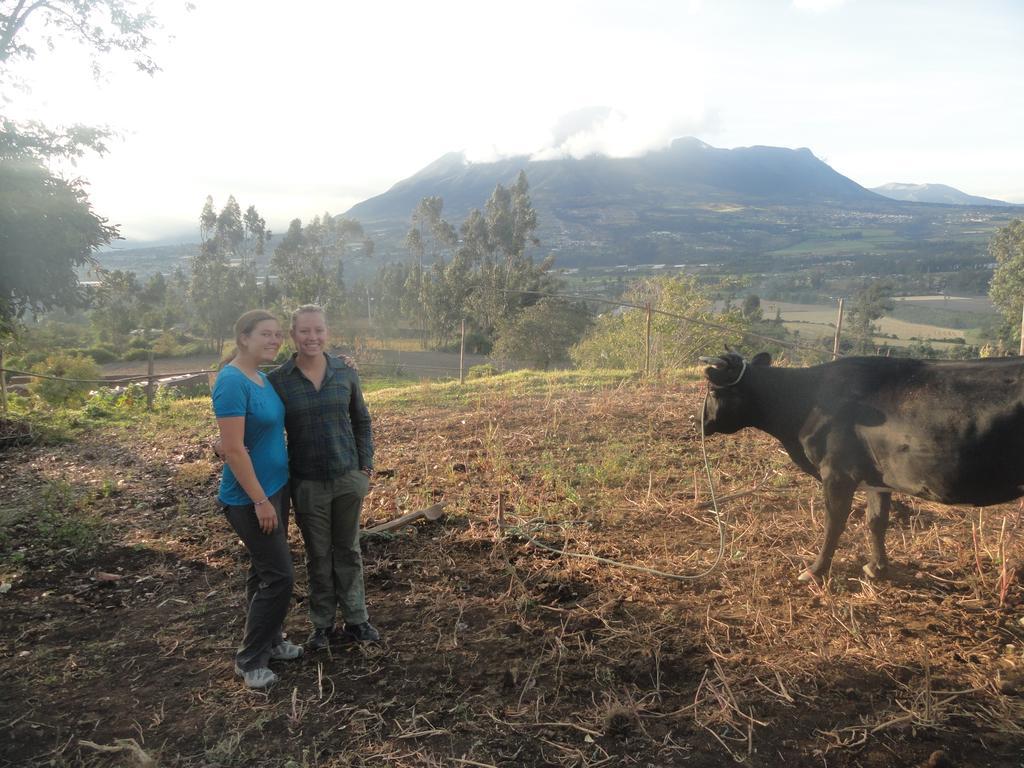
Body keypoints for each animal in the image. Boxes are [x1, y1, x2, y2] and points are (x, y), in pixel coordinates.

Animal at [700, 352, 1024, 581]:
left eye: (714, 392)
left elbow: (835, 522)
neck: (806, 400)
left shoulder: (837, 472)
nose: (700, 423)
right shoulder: (877, 477)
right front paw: (877, 568)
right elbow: (876, 521)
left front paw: (815, 571)